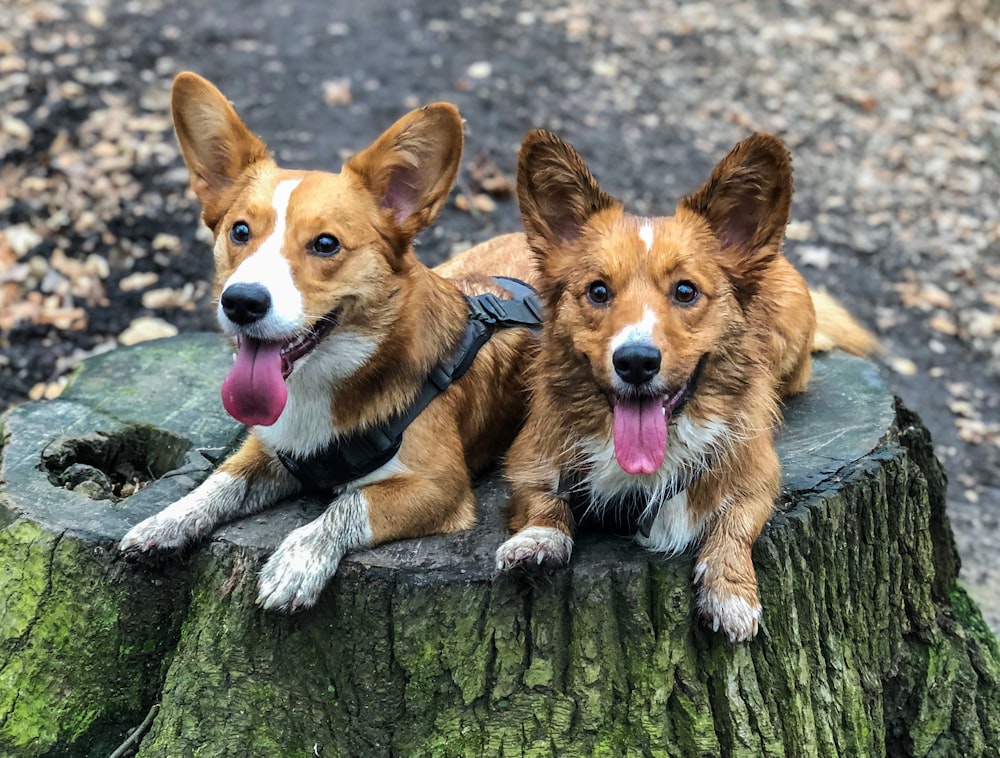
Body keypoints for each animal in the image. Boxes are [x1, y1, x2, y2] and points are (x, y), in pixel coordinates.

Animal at [121, 74, 544, 616]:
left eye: (325, 244)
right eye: (239, 231)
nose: (241, 302)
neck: (321, 383)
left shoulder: (438, 486)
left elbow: (348, 504)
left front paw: (297, 561)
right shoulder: (268, 448)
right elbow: (218, 483)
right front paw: (168, 520)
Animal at [494, 129, 876, 640]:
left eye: (685, 291)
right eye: (598, 291)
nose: (636, 362)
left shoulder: (760, 475)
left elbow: (735, 524)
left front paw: (730, 591)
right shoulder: (525, 457)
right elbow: (541, 499)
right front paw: (537, 539)